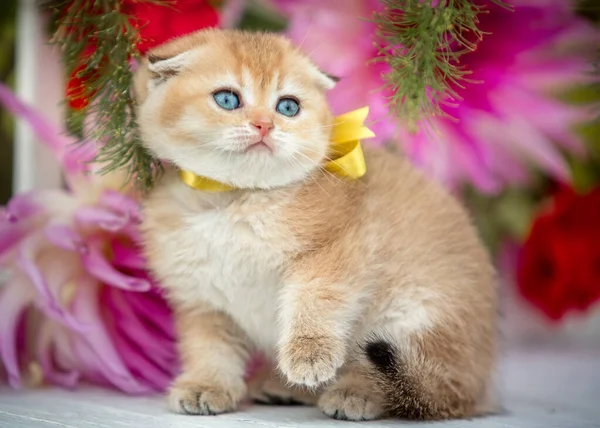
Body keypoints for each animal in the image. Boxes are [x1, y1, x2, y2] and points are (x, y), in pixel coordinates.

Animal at [135, 29, 496, 422]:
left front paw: (310, 354)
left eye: (288, 107)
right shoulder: (202, 298)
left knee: (414, 381)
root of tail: (477, 382)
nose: (264, 124)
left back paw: (355, 392)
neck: (236, 201)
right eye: (227, 99)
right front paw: (207, 384)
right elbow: (210, 347)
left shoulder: (336, 250)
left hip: (415, 314)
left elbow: (314, 300)